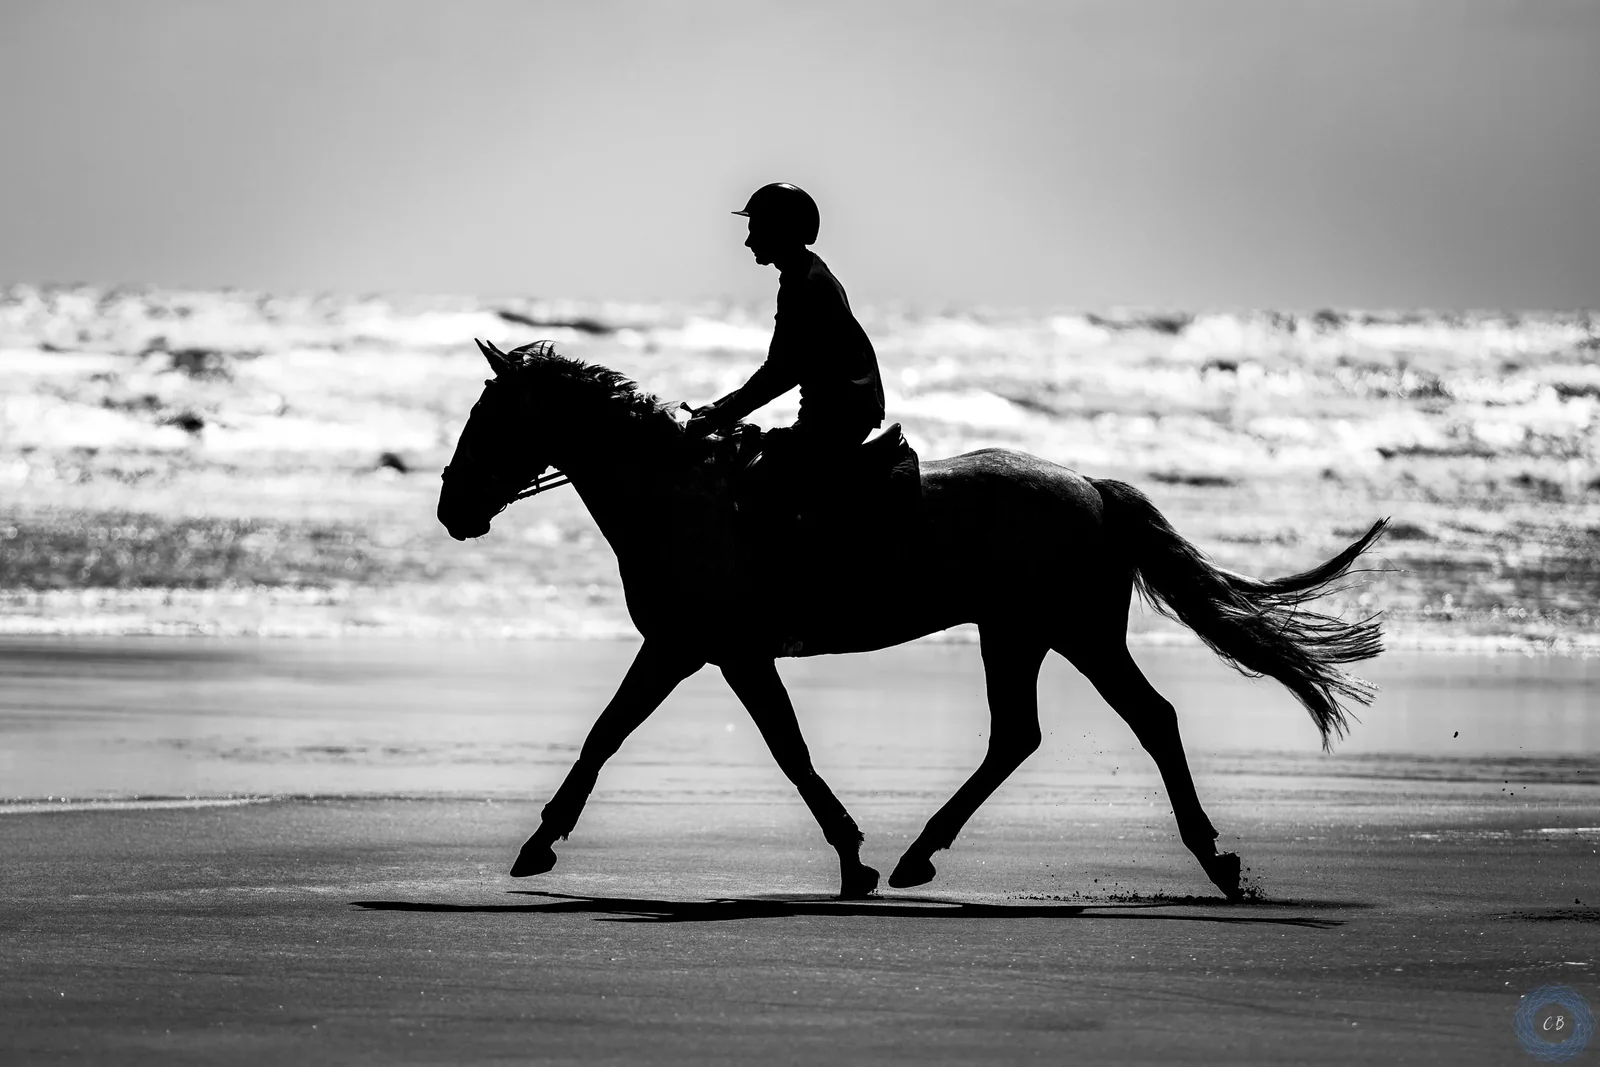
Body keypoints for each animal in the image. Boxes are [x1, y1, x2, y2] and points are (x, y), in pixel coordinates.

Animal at [436, 339, 1386, 901]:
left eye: (490, 418)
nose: (451, 508)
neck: (677, 495)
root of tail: (1089, 486)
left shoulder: (704, 647)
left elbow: (721, 744)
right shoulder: (699, 649)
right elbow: (646, 737)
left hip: (1073, 631)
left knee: (1148, 718)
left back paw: (1214, 860)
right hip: (1017, 633)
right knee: (1019, 735)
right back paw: (923, 851)